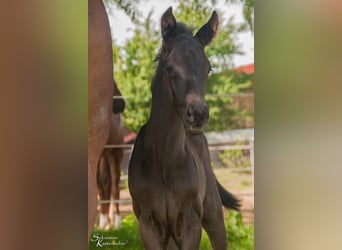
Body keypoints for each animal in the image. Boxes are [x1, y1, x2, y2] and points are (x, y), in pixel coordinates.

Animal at [129, 7, 240, 250]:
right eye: (169, 67)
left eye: (208, 69)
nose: (197, 114)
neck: (163, 160)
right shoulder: (149, 226)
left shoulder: (190, 223)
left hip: (213, 214)